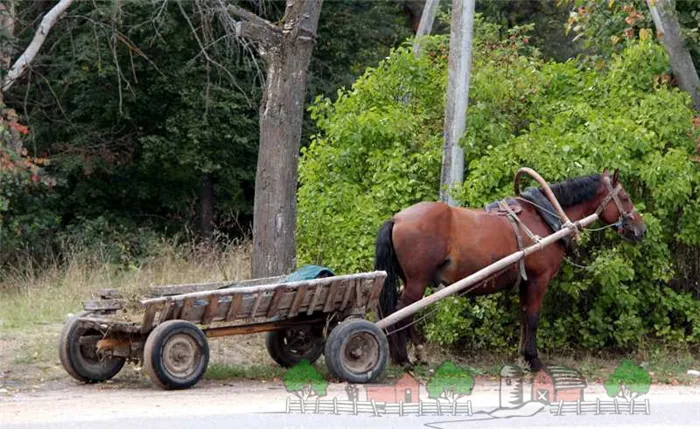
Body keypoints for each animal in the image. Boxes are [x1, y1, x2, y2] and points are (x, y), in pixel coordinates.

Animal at [378, 169, 644, 370]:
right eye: (625, 197)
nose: (641, 230)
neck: (544, 216)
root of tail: (397, 219)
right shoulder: (538, 280)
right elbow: (533, 318)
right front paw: (534, 360)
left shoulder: (526, 282)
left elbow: (524, 316)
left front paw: (522, 356)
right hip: (417, 281)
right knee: (398, 312)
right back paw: (403, 360)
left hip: (411, 281)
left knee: (406, 313)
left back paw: (418, 355)